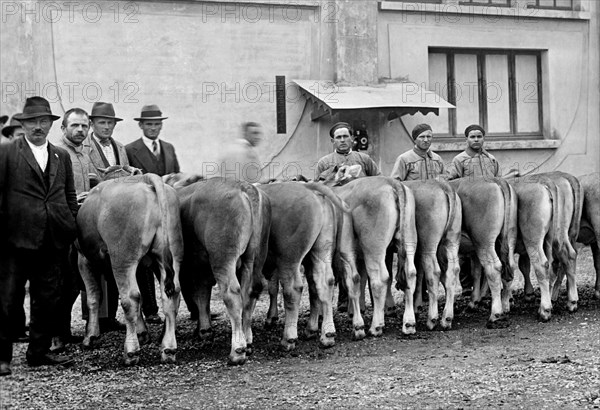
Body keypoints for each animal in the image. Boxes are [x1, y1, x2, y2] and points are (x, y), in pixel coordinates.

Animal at [77, 172, 183, 366]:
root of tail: (145, 179)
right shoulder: (141, 265)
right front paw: (142, 333)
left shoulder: (83, 259)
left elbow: (93, 297)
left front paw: (90, 337)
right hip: (172, 255)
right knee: (171, 296)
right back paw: (168, 349)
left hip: (122, 260)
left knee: (130, 298)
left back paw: (131, 352)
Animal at [163, 176, 268, 366]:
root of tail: (243, 187)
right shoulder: (199, 269)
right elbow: (202, 296)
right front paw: (204, 330)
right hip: (254, 258)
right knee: (250, 293)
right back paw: (247, 342)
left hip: (222, 258)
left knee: (232, 294)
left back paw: (237, 351)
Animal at [258, 183, 360, 350]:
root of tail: (309, 187)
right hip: (333, 249)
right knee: (341, 280)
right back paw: (338, 332)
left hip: (288, 257)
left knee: (294, 289)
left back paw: (289, 339)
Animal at [318, 165, 418, 334]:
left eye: (321, 177)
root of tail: (392, 183)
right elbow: (360, 279)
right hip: (409, 238)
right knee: (410, 273)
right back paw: (409, 323)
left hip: (373, 247)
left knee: (380, 279)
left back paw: (376, 326)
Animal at [448, 177, 516, 330]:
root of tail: (495, 180)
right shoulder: (472, 251)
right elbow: (476, 272)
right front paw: (474, 301)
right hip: (505, 239)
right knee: (509, 267)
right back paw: (505, 306)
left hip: (483, 242)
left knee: (493, 268)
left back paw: (495, 315)